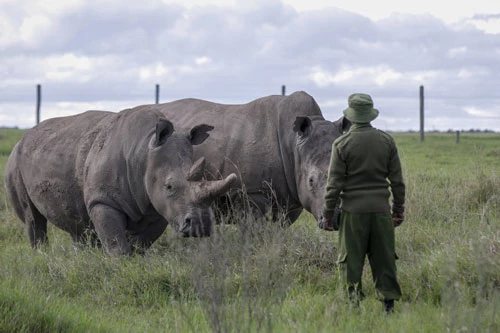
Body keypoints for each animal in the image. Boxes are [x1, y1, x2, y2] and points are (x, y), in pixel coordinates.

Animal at [3, 108, 238, 254]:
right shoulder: (103, 200)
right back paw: (41, 255)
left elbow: (141, 243)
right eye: (169, 186)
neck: (145, 150)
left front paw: (135, 263)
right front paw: (121, 266)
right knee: (32, 218)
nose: (201, 225)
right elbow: (116, 243)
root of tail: (24, 136)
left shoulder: (156, 206)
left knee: (77, 221)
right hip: (15, 161)